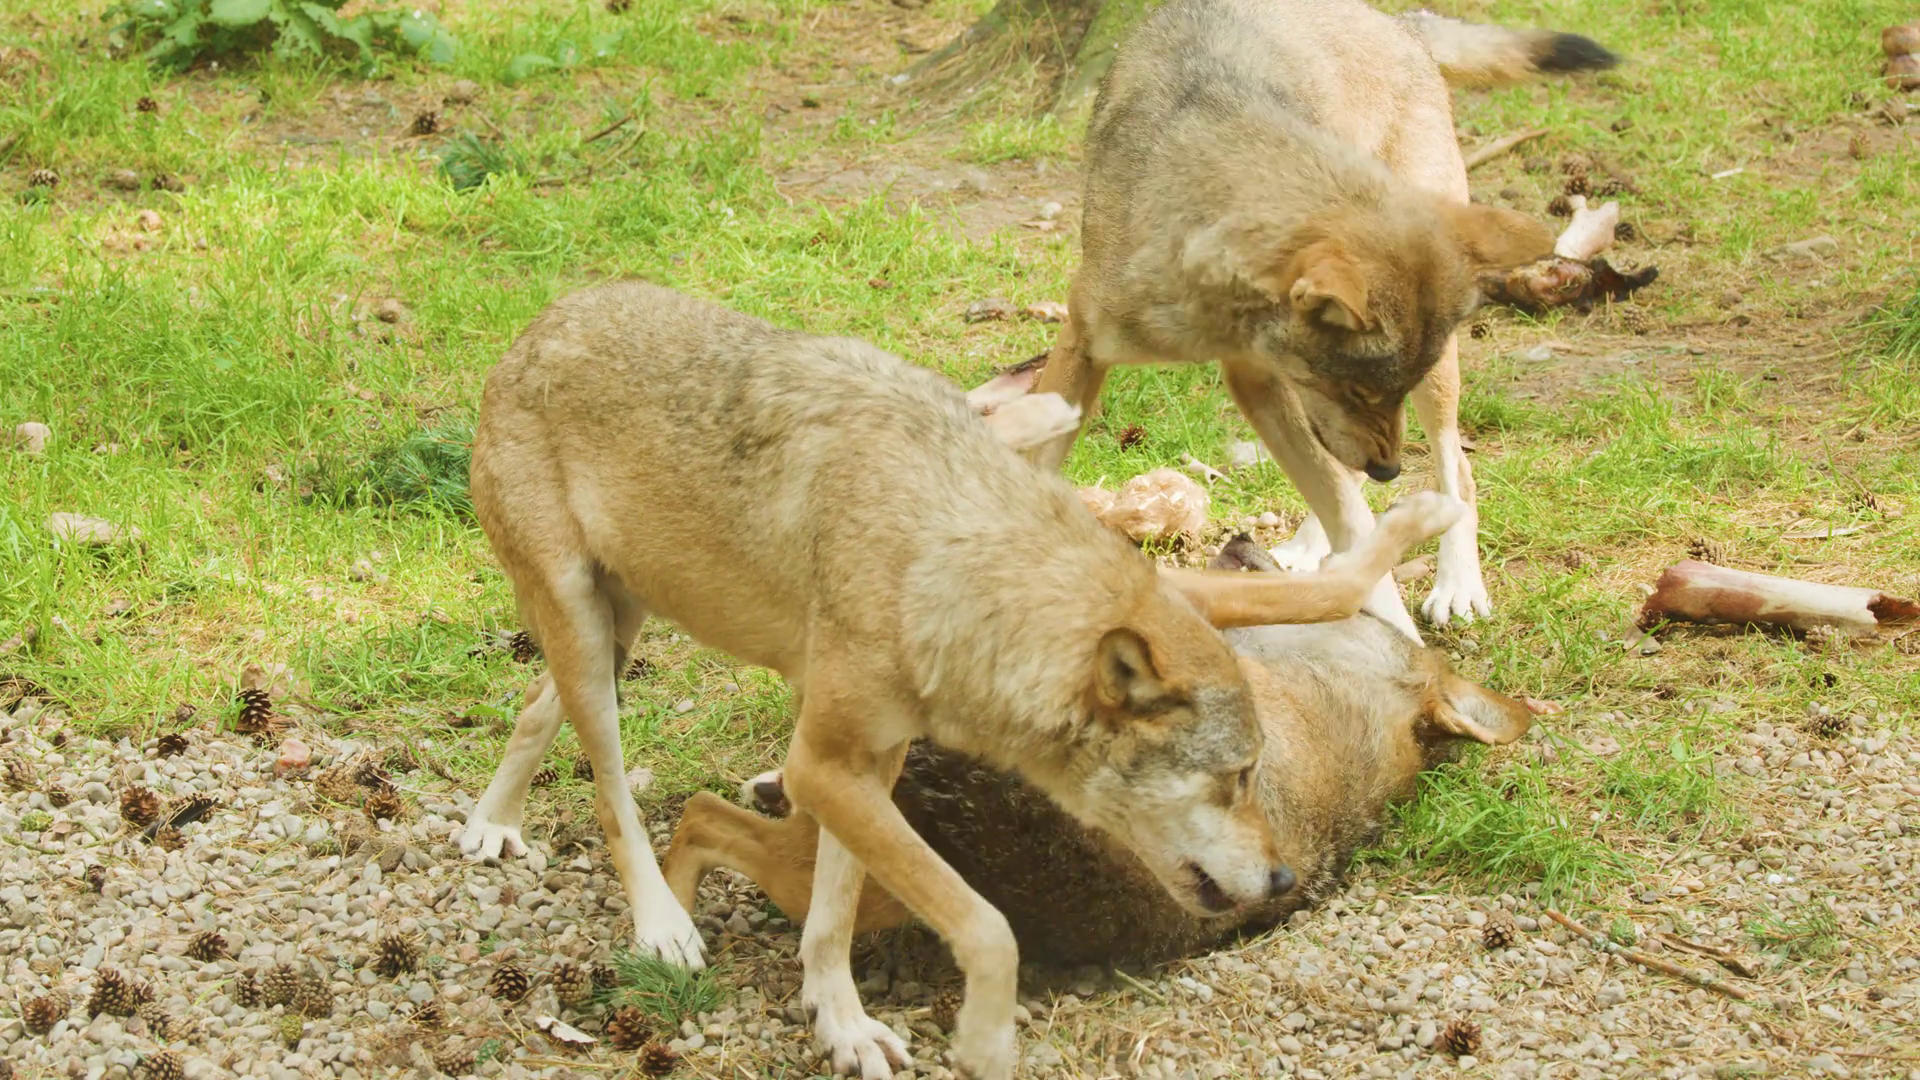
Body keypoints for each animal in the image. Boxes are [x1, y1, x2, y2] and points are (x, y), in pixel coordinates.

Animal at [1025, 0, 1618, 637]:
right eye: (1358, 390)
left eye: (1377, 389)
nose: (1389, 471)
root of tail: (1398, 22)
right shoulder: (1096, 345)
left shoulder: (1267, 382)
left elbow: (1356, 522)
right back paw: (1319, 546)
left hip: (1435, 381)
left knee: (1451, 465)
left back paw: (1456, 584)